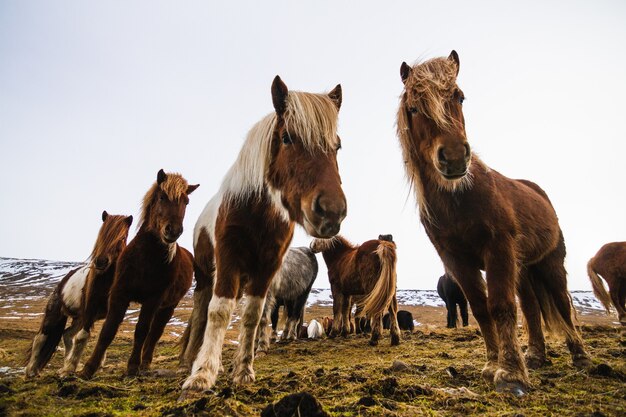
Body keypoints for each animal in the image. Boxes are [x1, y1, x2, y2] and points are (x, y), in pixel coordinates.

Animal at [24, 211, 132, 376]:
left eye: (121, 238)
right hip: (55, 315)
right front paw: (70, 369)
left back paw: (64, 364)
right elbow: (82, 337)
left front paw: (81, 366)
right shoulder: (89, 312)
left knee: (67, 334)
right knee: (41, 337)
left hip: (78, 318)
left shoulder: (111, 313)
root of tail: (61, 284)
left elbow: (104, 336)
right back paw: (31, 371)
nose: (100, 262)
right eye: (101, 235)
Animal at [79, 168, 197, 376]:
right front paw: (89, 368)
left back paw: (145, 363)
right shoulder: (119, 293)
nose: (173, 231)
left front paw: (133, 366)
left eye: (186, 201)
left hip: (168, 306)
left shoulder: (153, 299)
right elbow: (108, 330)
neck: (146, 258)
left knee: (155, 332)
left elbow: (142, 331)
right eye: (162, 196)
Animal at [179, 75, 346, 396]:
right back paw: (192, 359)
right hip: (206, 276)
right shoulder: (228, 261)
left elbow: (254, 316)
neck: (256, 214)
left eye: (338, 146)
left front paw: (243, 370)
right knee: (201, 312)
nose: (331, 212)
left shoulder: (266, 271)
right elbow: (218, 313)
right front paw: (202, 374)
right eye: (287, 138)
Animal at [394, 51, 588, 394]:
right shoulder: (456, 260)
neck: (459, 200)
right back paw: (535, 355)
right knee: (532, 307)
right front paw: (493, 364)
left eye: (459, 97)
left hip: (550, 263)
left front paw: (510, 374)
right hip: (523, 269)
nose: (454, 157)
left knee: (562, 304)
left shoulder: (497, 249)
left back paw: (580, 356)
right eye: (414, 108)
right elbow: (481, 308)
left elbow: (501, 306)